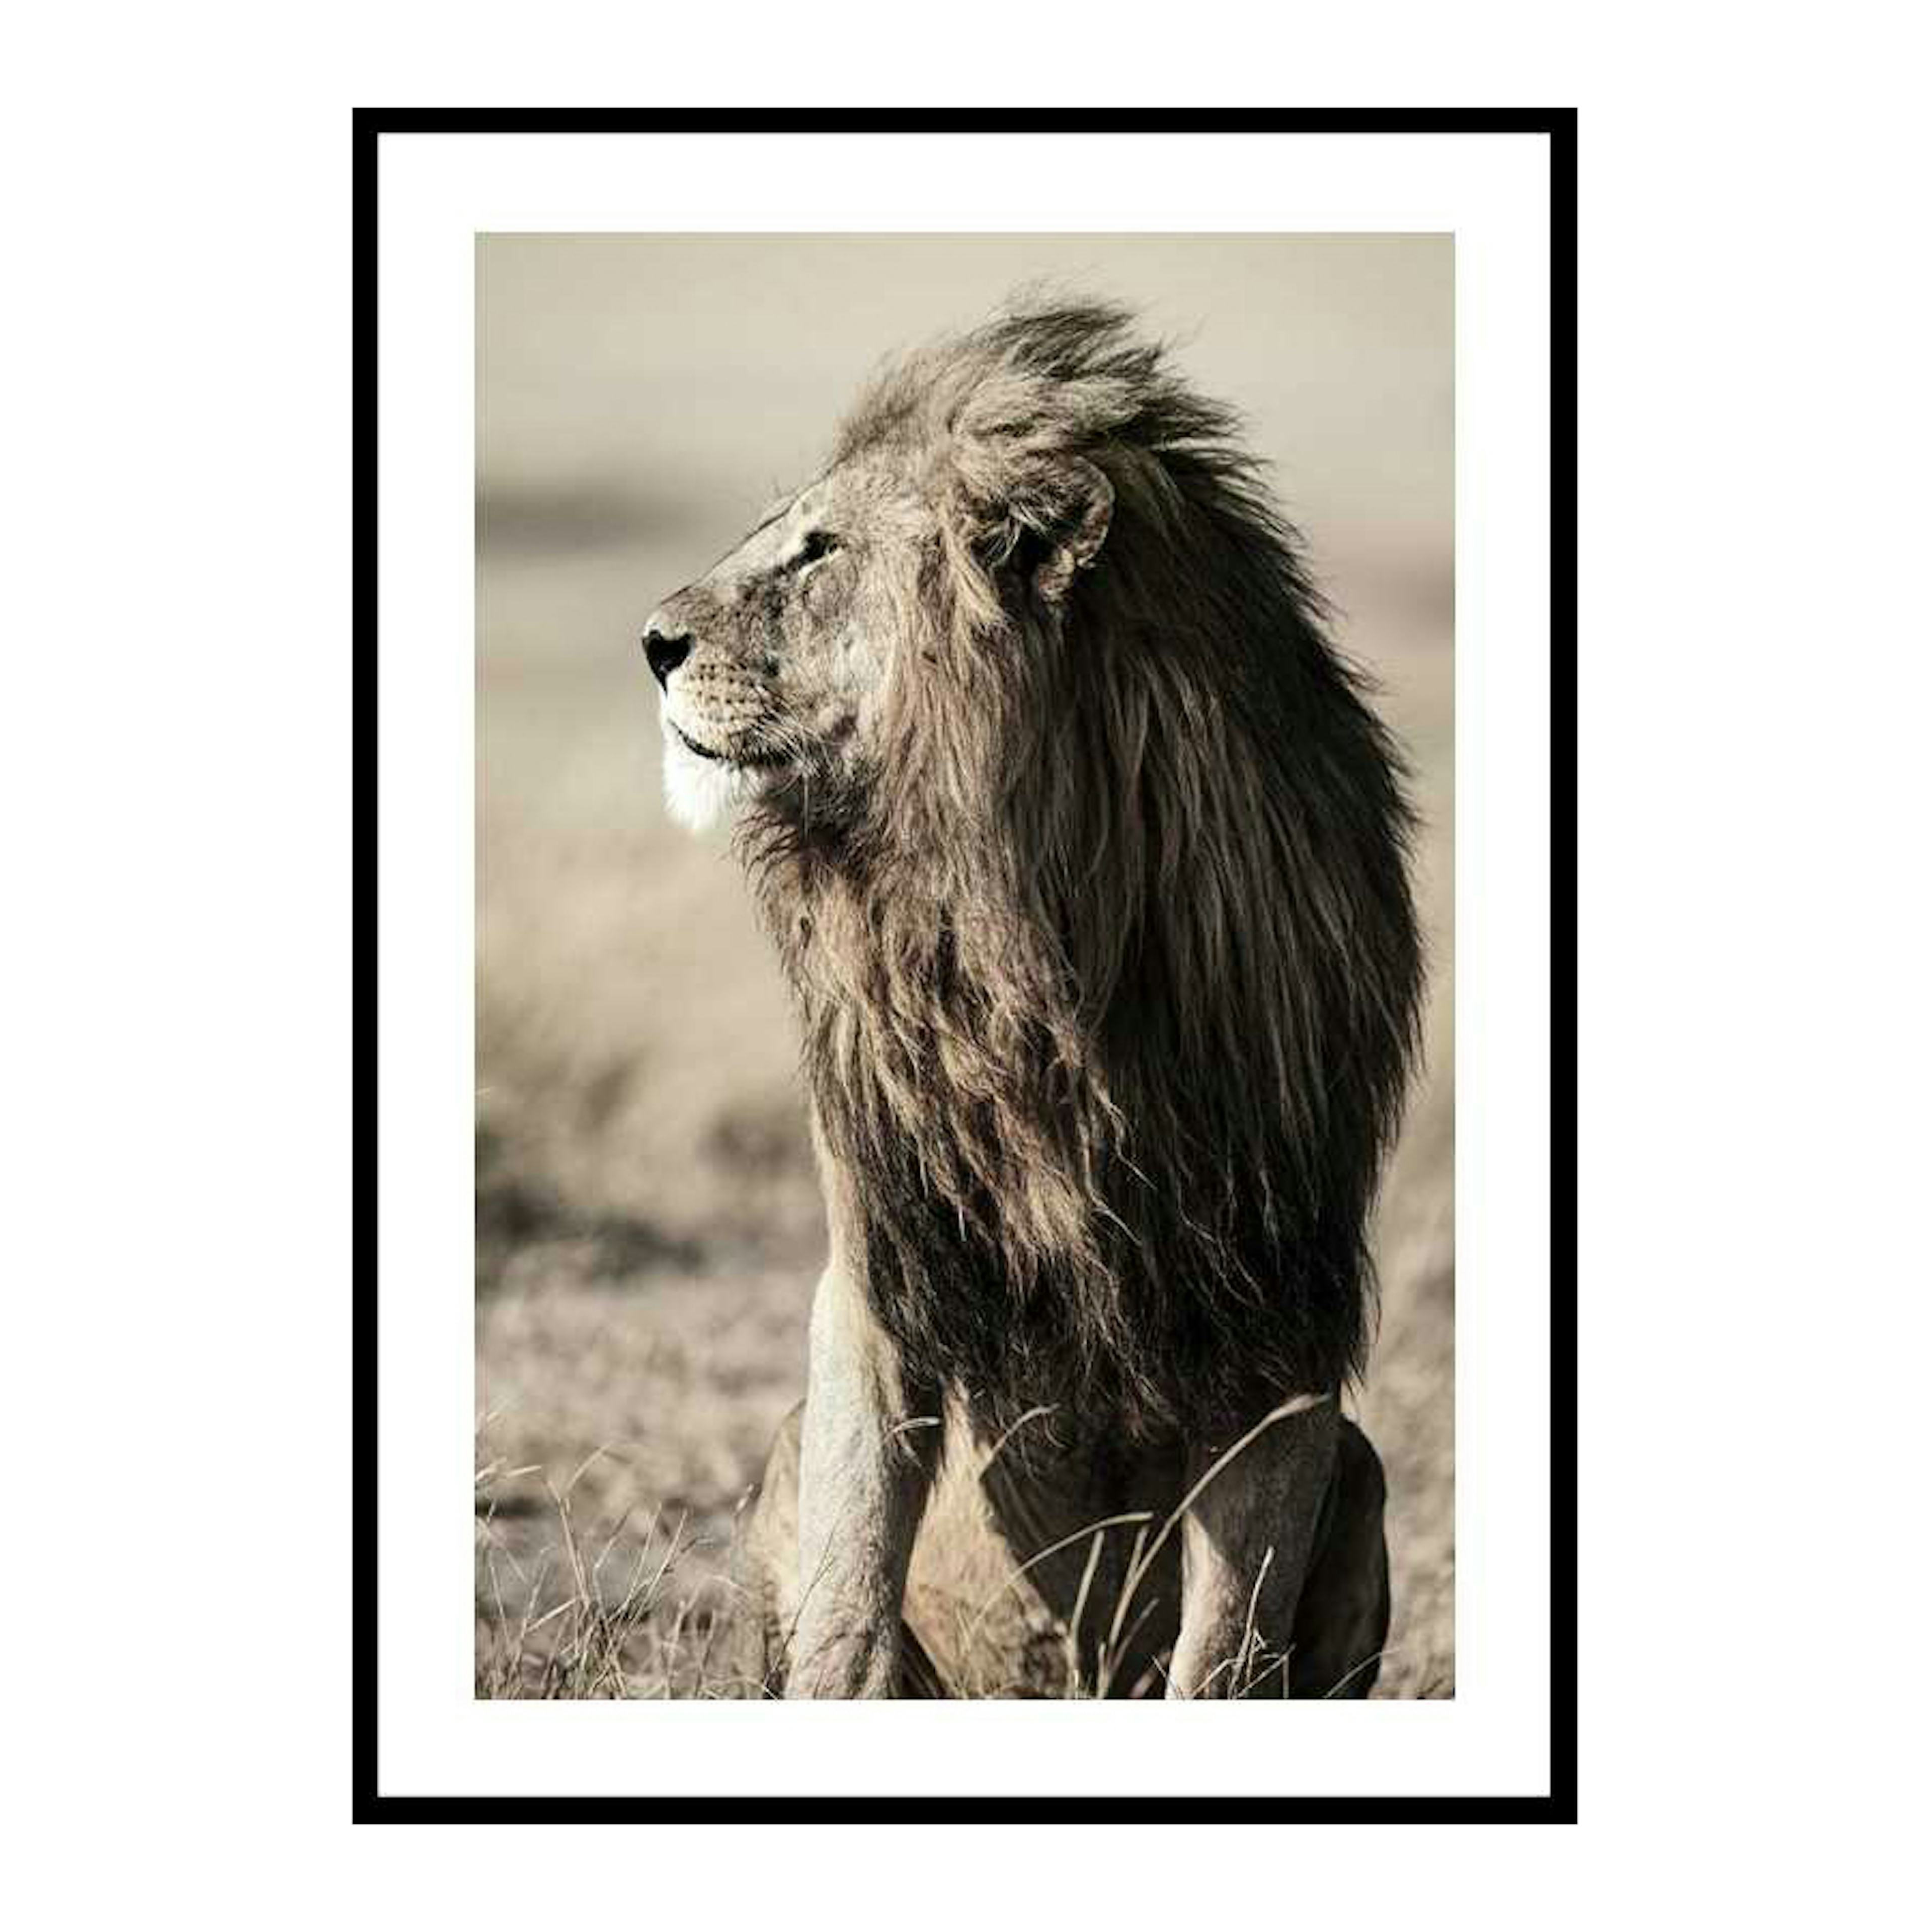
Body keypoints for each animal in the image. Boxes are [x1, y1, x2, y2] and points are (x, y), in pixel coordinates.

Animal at [641, 297, 1423, 1697]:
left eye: (818, 550)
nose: (651, 643)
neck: (1015, 937)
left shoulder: (1287, 1312)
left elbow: (1226, 1645)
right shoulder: (877, 1263)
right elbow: (850, 1590)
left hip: (1367, 1469)